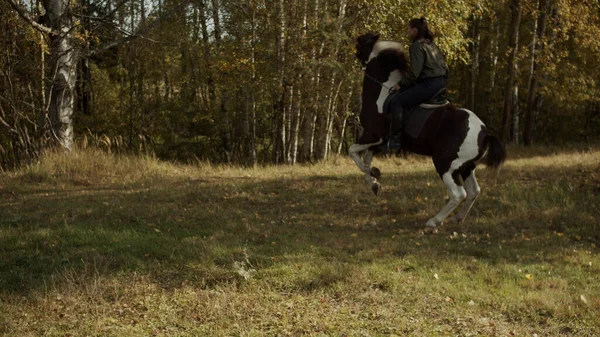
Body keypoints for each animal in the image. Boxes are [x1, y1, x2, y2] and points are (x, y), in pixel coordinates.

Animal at [352, 32, 506, 227]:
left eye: (362, 42)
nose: (354, 49)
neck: (383, 92)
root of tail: (484, 133)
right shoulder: (377, 143)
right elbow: (365, 162)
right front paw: (374, 181)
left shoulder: (373, 136)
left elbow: (354, 153)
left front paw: (374, 177)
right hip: (466, 167)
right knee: (474, 191)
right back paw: (457, 218)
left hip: (445, 164)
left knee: (458, 194)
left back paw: (432, 223)